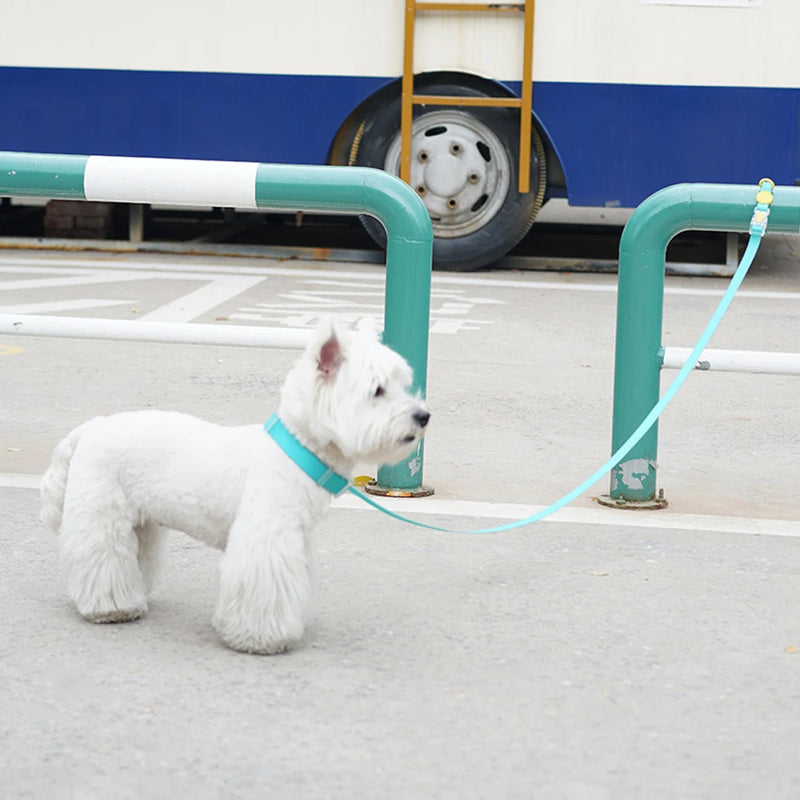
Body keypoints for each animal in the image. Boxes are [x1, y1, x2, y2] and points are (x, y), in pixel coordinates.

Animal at [42, 318, 432, 656]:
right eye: (377, 391)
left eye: (404, 385)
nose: (423, 416)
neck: (295, 451)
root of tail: (89, 428)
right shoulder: (264, 540)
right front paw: (261, 639)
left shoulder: (296, 538)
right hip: (102, 514)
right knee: (100, 558)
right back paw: (111, 607)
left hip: (141, 523)